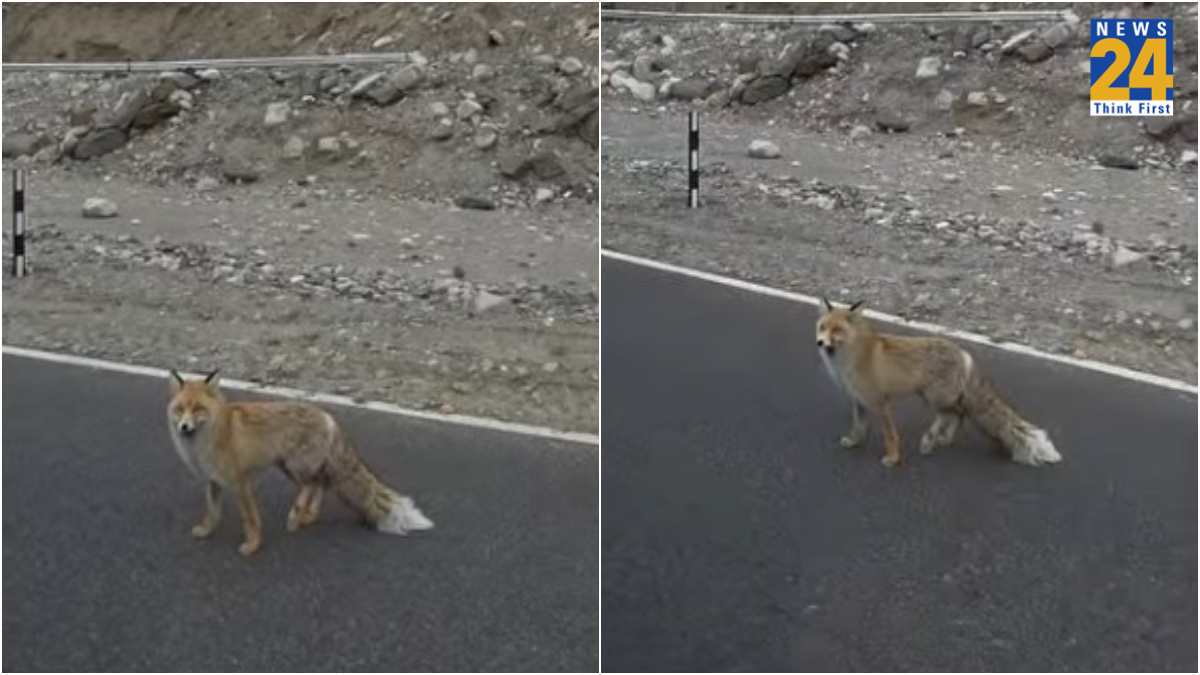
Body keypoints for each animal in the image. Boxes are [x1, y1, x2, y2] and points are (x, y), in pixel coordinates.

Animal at [166, 369, 433, 556]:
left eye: (198, 409)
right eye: (180, 409)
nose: (184, 427)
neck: (210, 438)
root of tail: (328, 417)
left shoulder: (241, 482)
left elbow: (250, 520)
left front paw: (252, 546)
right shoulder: (213, 481)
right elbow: (212, 512)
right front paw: (206, 531)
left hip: (294, 465)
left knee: (312, 484)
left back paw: (296, 515)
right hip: (289, 466)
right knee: (320, 483)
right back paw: (307, 516)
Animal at [814, 299, 1062, 468]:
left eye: (837, 330)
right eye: (822, 327)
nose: (819, 343)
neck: (849, 359)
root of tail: (963, 353)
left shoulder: (881, 403)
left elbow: (890, 436)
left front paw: (893, 459)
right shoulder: (858, 400)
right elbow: (858, 427)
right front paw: (854, 442)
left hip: (934, 396)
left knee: (949, 414)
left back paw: (928, 441)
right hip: (937, 396)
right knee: (958, 414)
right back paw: (942, 439)